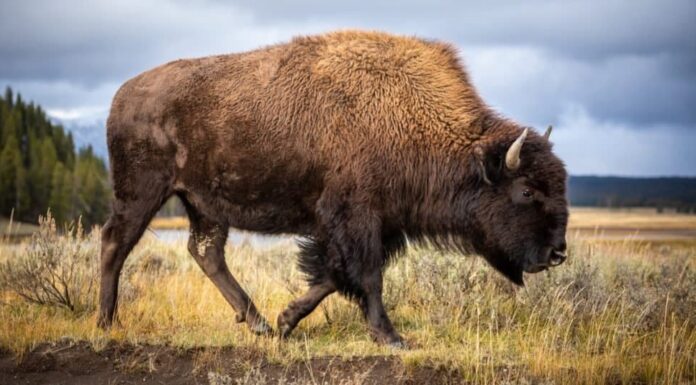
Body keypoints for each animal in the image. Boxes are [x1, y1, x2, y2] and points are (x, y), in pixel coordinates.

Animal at [98, 30, 568, 346]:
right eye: (527, 192)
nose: (557, 253)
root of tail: (122, 95)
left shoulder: (375, 224)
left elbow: (334, 275)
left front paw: (286, 321)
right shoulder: (356, 217)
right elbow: (366, 276)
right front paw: (390, 337)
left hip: (203, 205)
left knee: (206, 252)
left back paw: (258, 323)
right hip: (142, 192)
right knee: (115, 244)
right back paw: (106, 321)